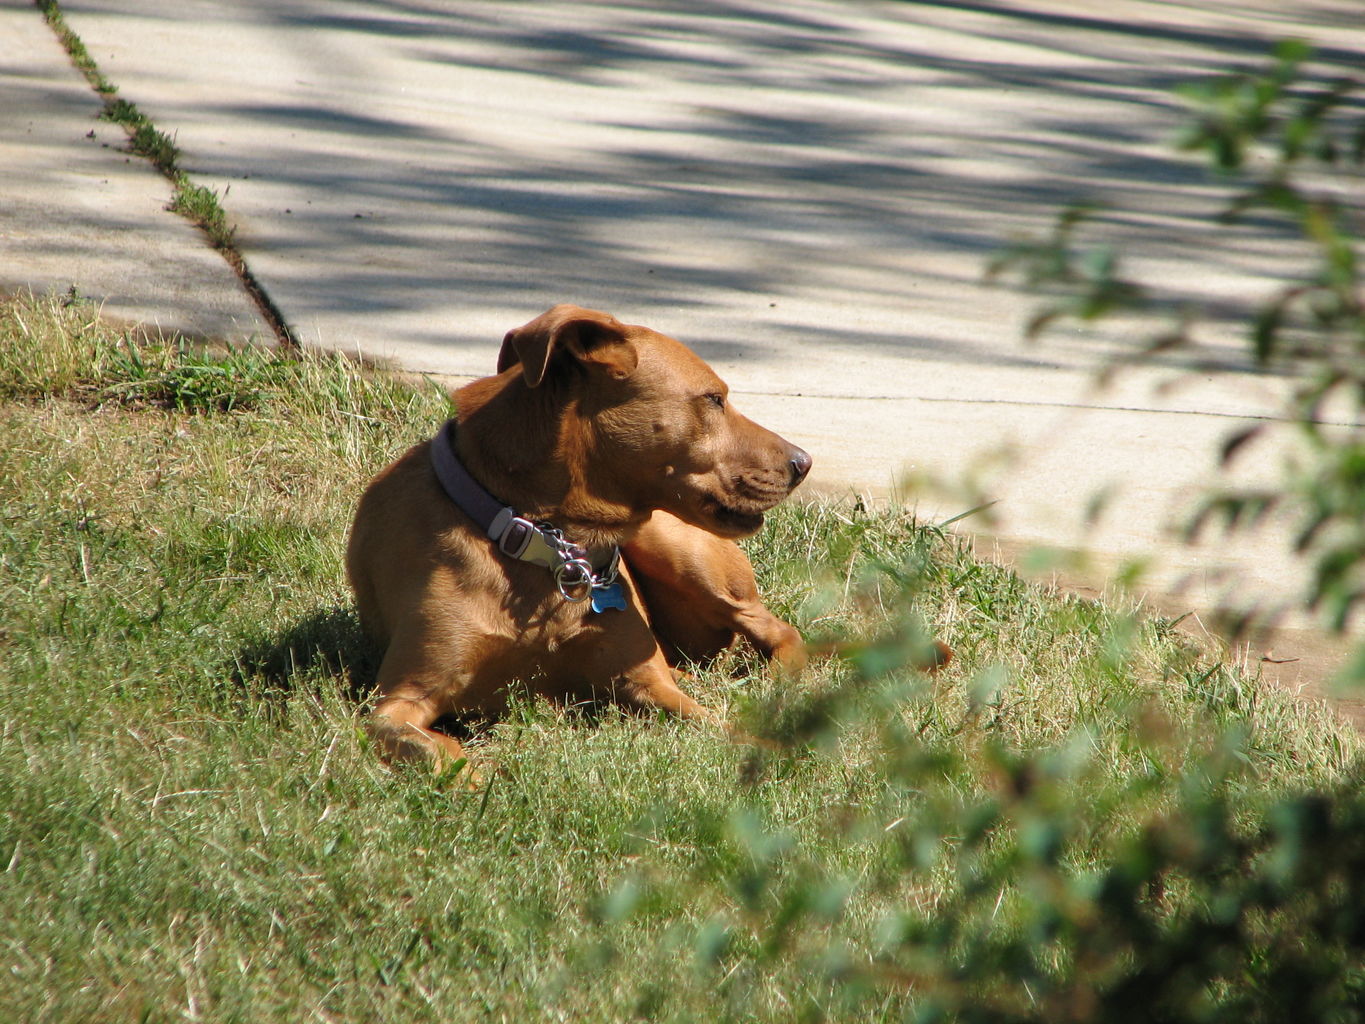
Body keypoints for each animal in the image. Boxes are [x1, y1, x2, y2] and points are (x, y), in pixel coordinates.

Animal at [346, 304, 808, 770]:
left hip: (681, 552)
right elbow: (441, 750)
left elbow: (727, 731)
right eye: (714, 399)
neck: (546, 544)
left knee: (779, 630)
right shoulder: (397, 701)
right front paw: (476, 778)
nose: (803, 463)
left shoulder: (647, 683)